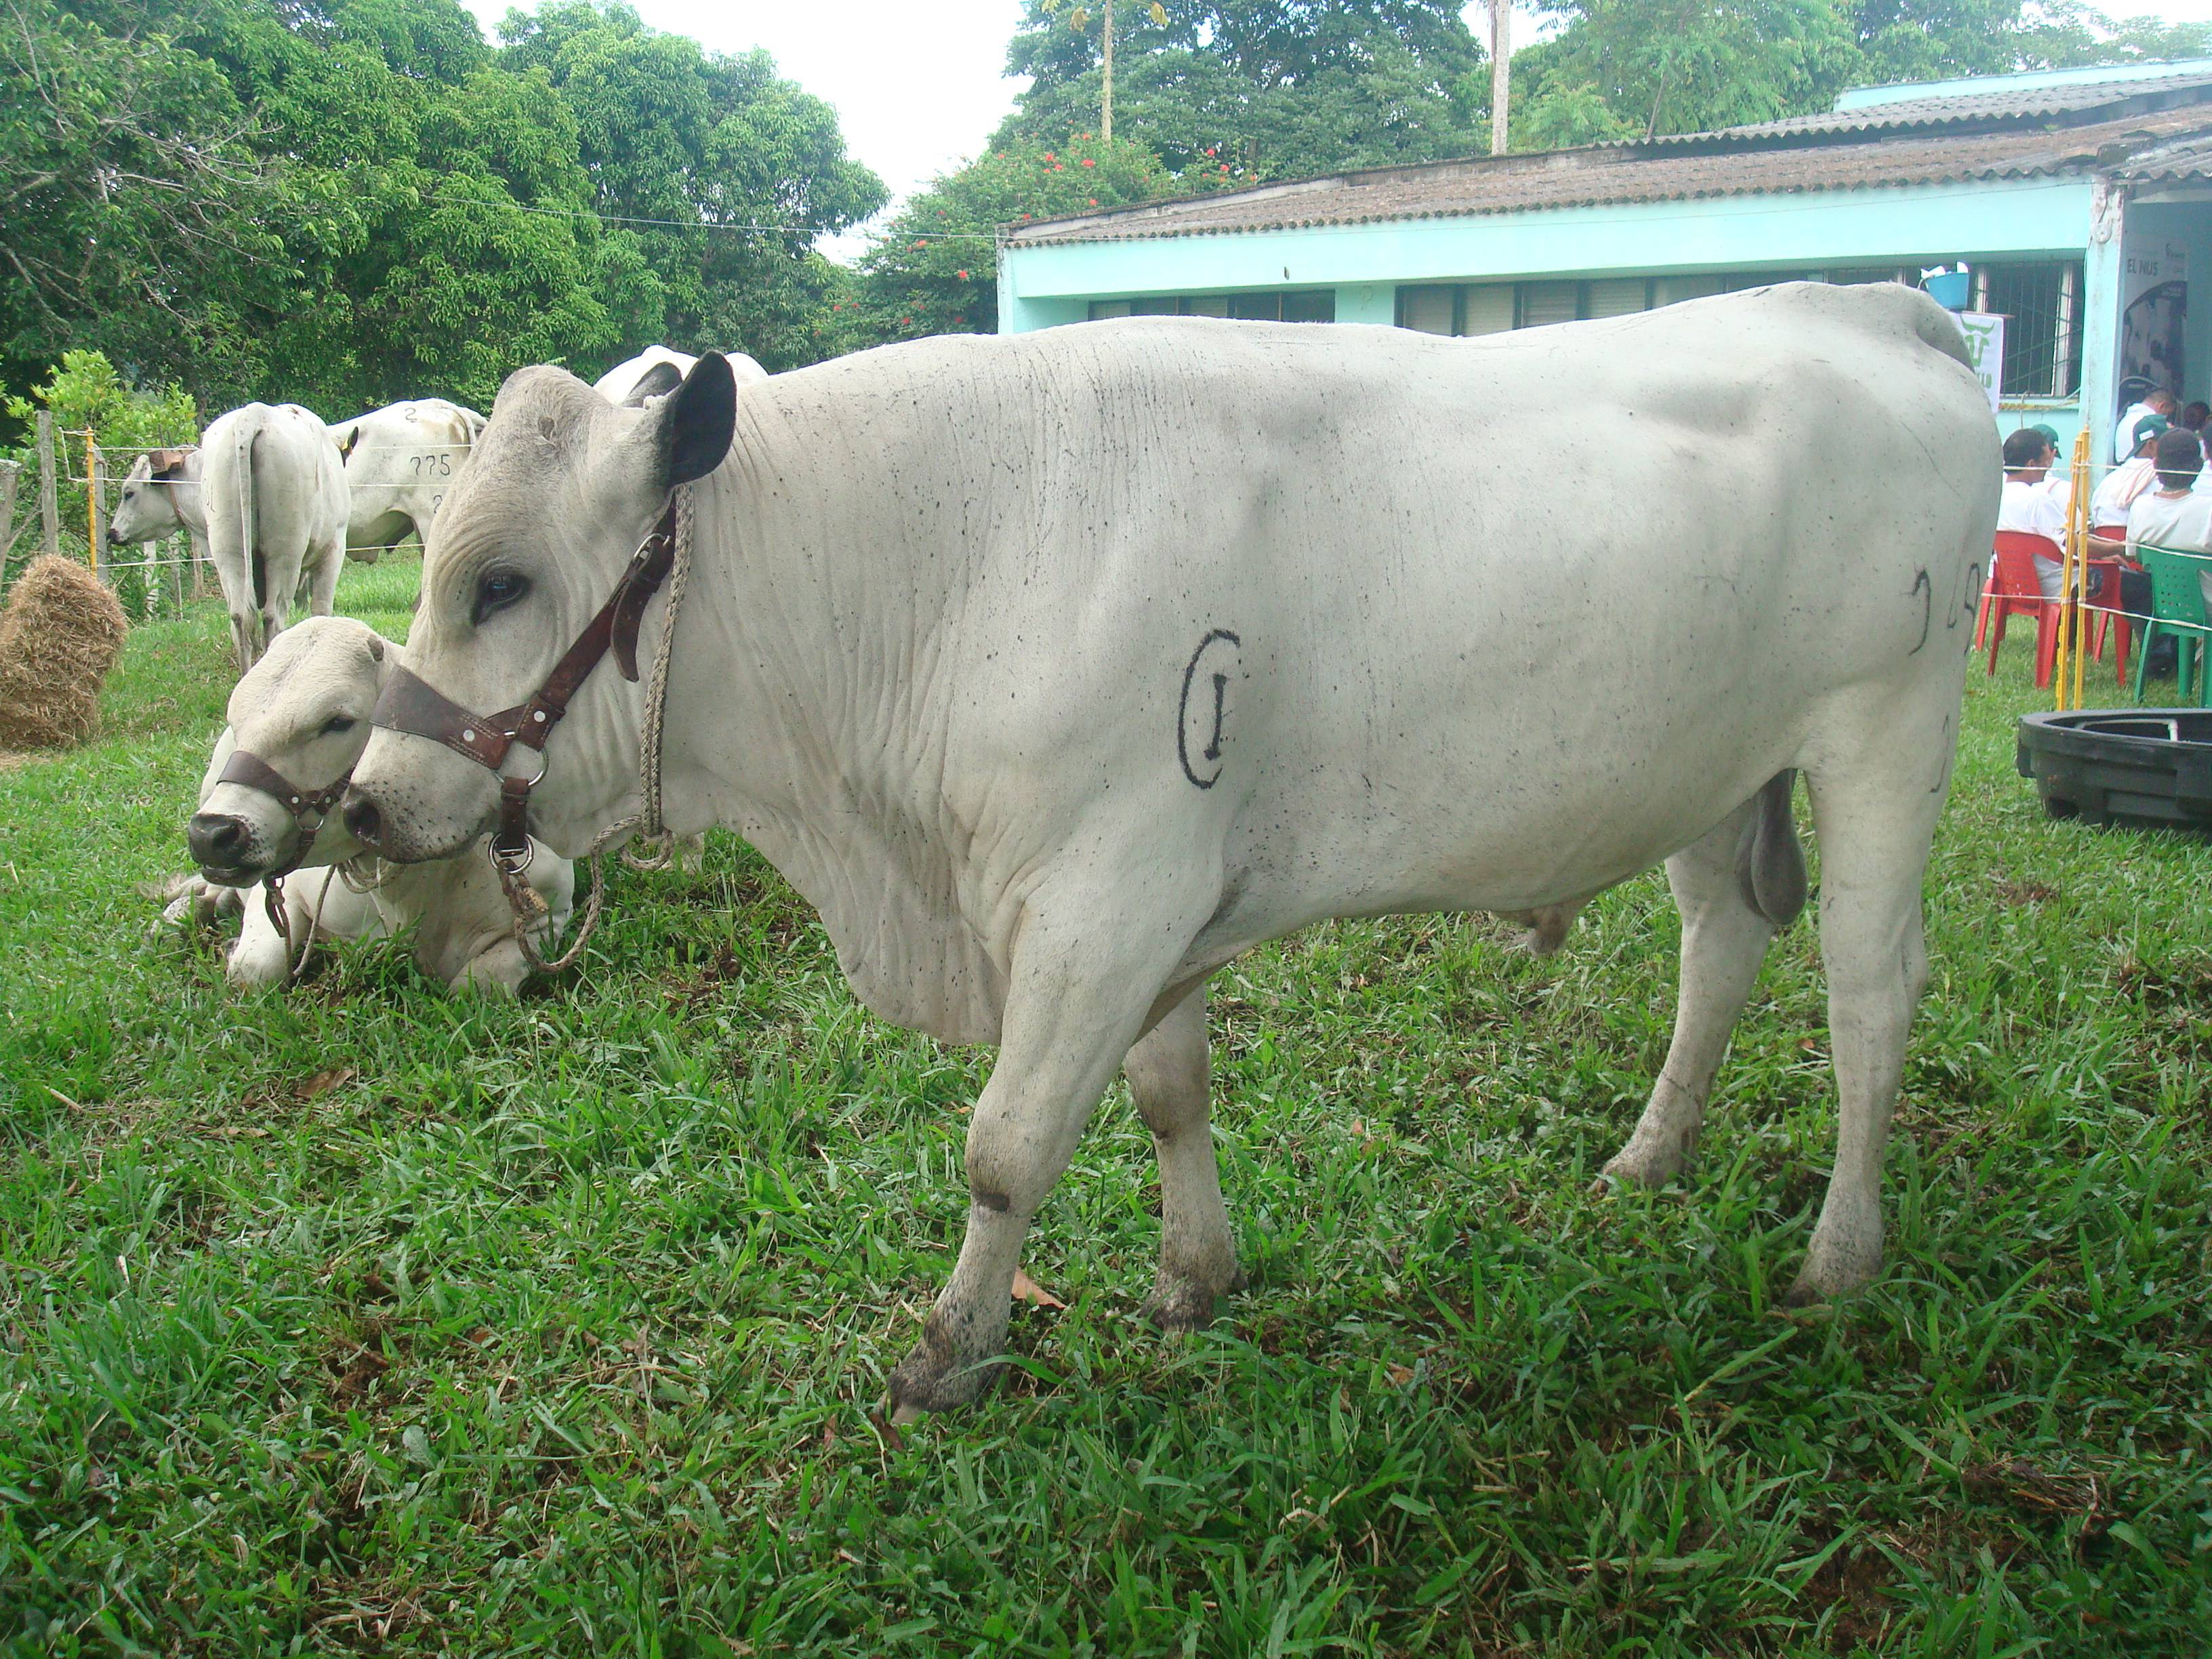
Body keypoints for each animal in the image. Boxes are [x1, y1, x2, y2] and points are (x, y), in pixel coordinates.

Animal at [108, 403, 348, 671]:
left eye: (128, 493)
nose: (112, 533)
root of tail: (254, 414)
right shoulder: (335, 547)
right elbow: (321, 610)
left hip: (230, 552)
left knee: (240, 616)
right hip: (284, 555)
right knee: (273, 616)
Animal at [180, 616, 572, 993]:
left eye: (338, 722)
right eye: (236, 719)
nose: (210, 834)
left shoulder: (550, 916)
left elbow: (477, 986)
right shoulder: (286, 892)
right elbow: (252, 971)